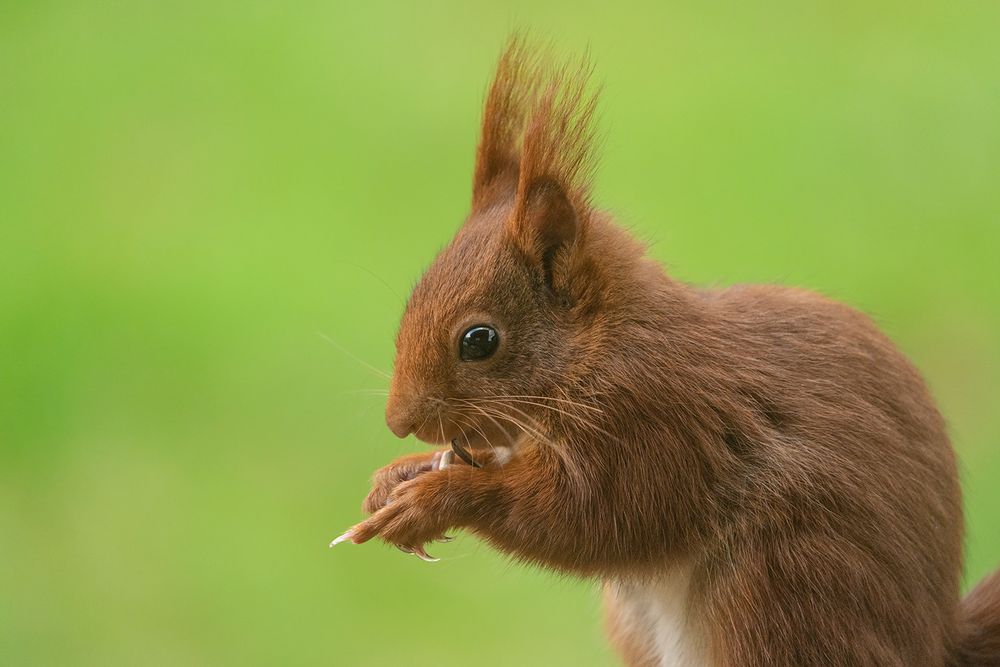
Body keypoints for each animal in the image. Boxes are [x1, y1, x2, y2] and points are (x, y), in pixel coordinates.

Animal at [334, 39, 1000, 664]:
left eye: (479, 341)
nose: (399, 422)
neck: (599, 347)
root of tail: (933, 643)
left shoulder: (656, 421)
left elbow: (591, 520)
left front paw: (436, 500)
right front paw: (397, 476)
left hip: (778, 591)